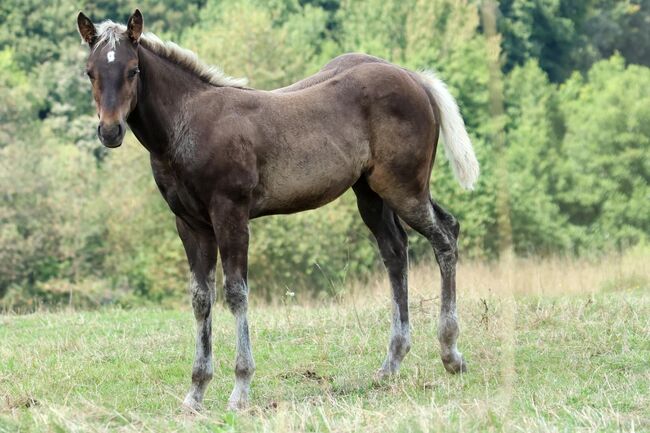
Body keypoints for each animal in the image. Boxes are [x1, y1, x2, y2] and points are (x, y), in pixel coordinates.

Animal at [78, 9, 478, 408]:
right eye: (90, 72)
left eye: (133, 70)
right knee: (396, 251)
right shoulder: (190, 224)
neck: (188, 124)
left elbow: (236, 293)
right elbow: (201, 298)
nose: (110, 131)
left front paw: (240, 389)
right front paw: (196, 391)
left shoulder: (231, 214)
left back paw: (450, 353)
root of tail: (415, 79)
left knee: (445, 236)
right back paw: (391, 362)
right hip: (371, 194)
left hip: (404, 188)